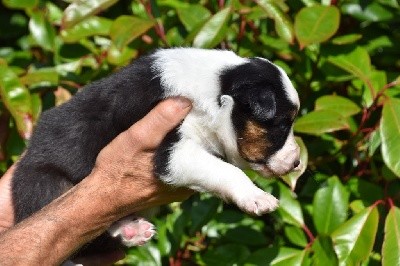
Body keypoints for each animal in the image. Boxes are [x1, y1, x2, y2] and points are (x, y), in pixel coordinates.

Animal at [10, 47, 300, 254]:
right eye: (282, 124)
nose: (298, 162)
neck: (216, 89)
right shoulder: (174, 151)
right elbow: (226, 171)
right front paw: (257, 197)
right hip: (46, 183)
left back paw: (132, 230)